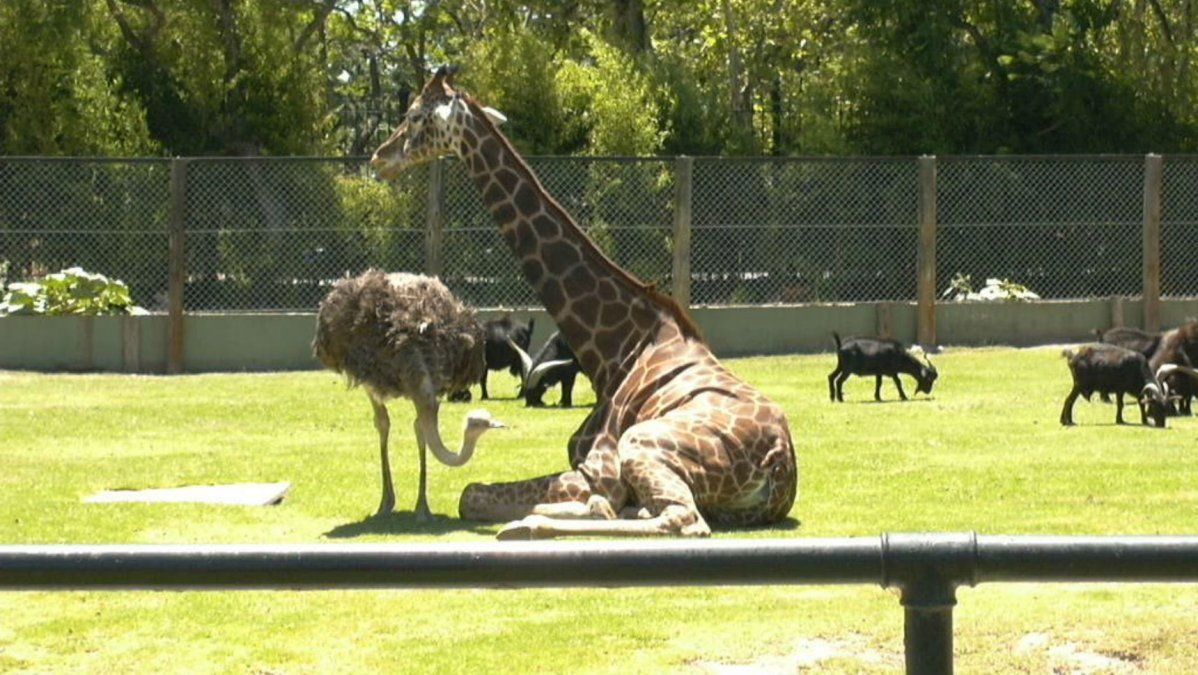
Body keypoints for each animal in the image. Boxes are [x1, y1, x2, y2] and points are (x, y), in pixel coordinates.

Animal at [370, 67, 797, 538]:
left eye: (413, 116)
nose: (379, 157)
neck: (616, 350)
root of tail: (779, 466)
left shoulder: (599, 467)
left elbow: (473, 493)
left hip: (642, 445)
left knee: (681, 519)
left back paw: (527, 525)